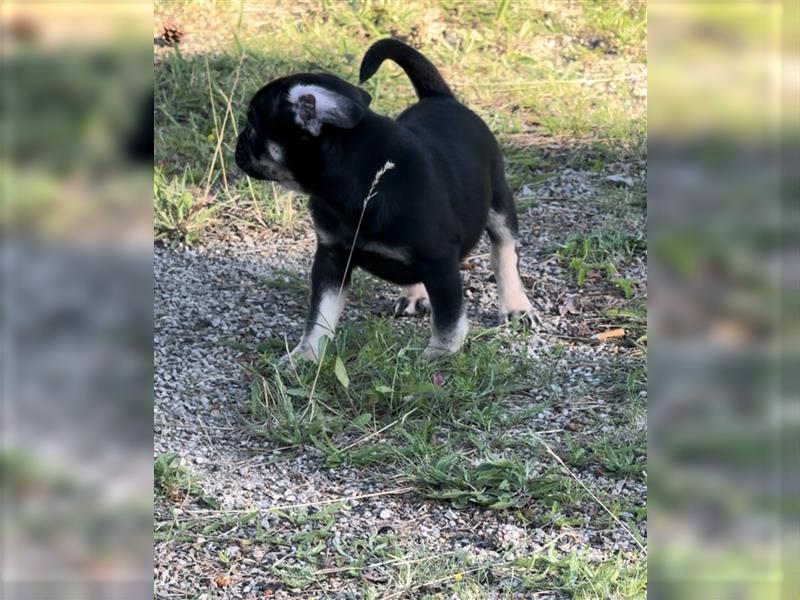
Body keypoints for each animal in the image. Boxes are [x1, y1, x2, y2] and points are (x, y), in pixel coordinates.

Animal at [238, 38, 536, 360]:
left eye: (251, 126)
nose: (238, 145)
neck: (359, 176)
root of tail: (441, 97)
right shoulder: (331, 258)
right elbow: (319, 313)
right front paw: (306, 354)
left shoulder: (440, 262)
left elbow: (448, 318)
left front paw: (439, 354)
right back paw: (414, 295)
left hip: (499, 203)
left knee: (504, 252)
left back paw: (516, 306)